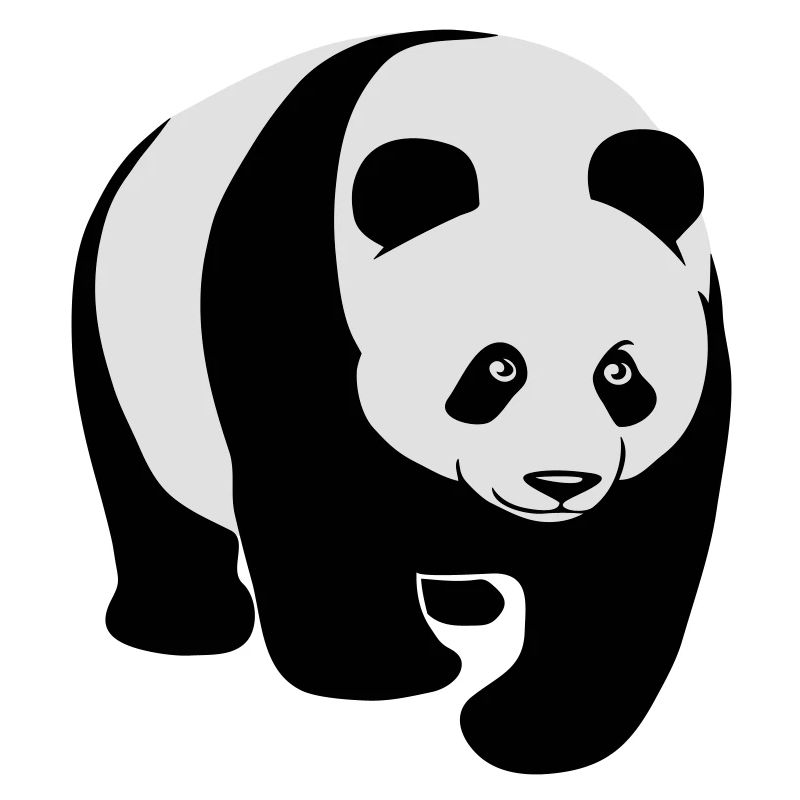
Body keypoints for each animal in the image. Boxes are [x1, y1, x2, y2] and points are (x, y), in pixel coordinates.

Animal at [73, 31, 730, 775]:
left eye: (619, 373)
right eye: (498, 367)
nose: (561, 483)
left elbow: (632, 552)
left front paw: (524, 729)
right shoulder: (291, 300)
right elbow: (316, 498)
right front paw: (385, 677)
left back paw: (467, 602)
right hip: (117, 354)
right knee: (145, 491)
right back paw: (185, 627)